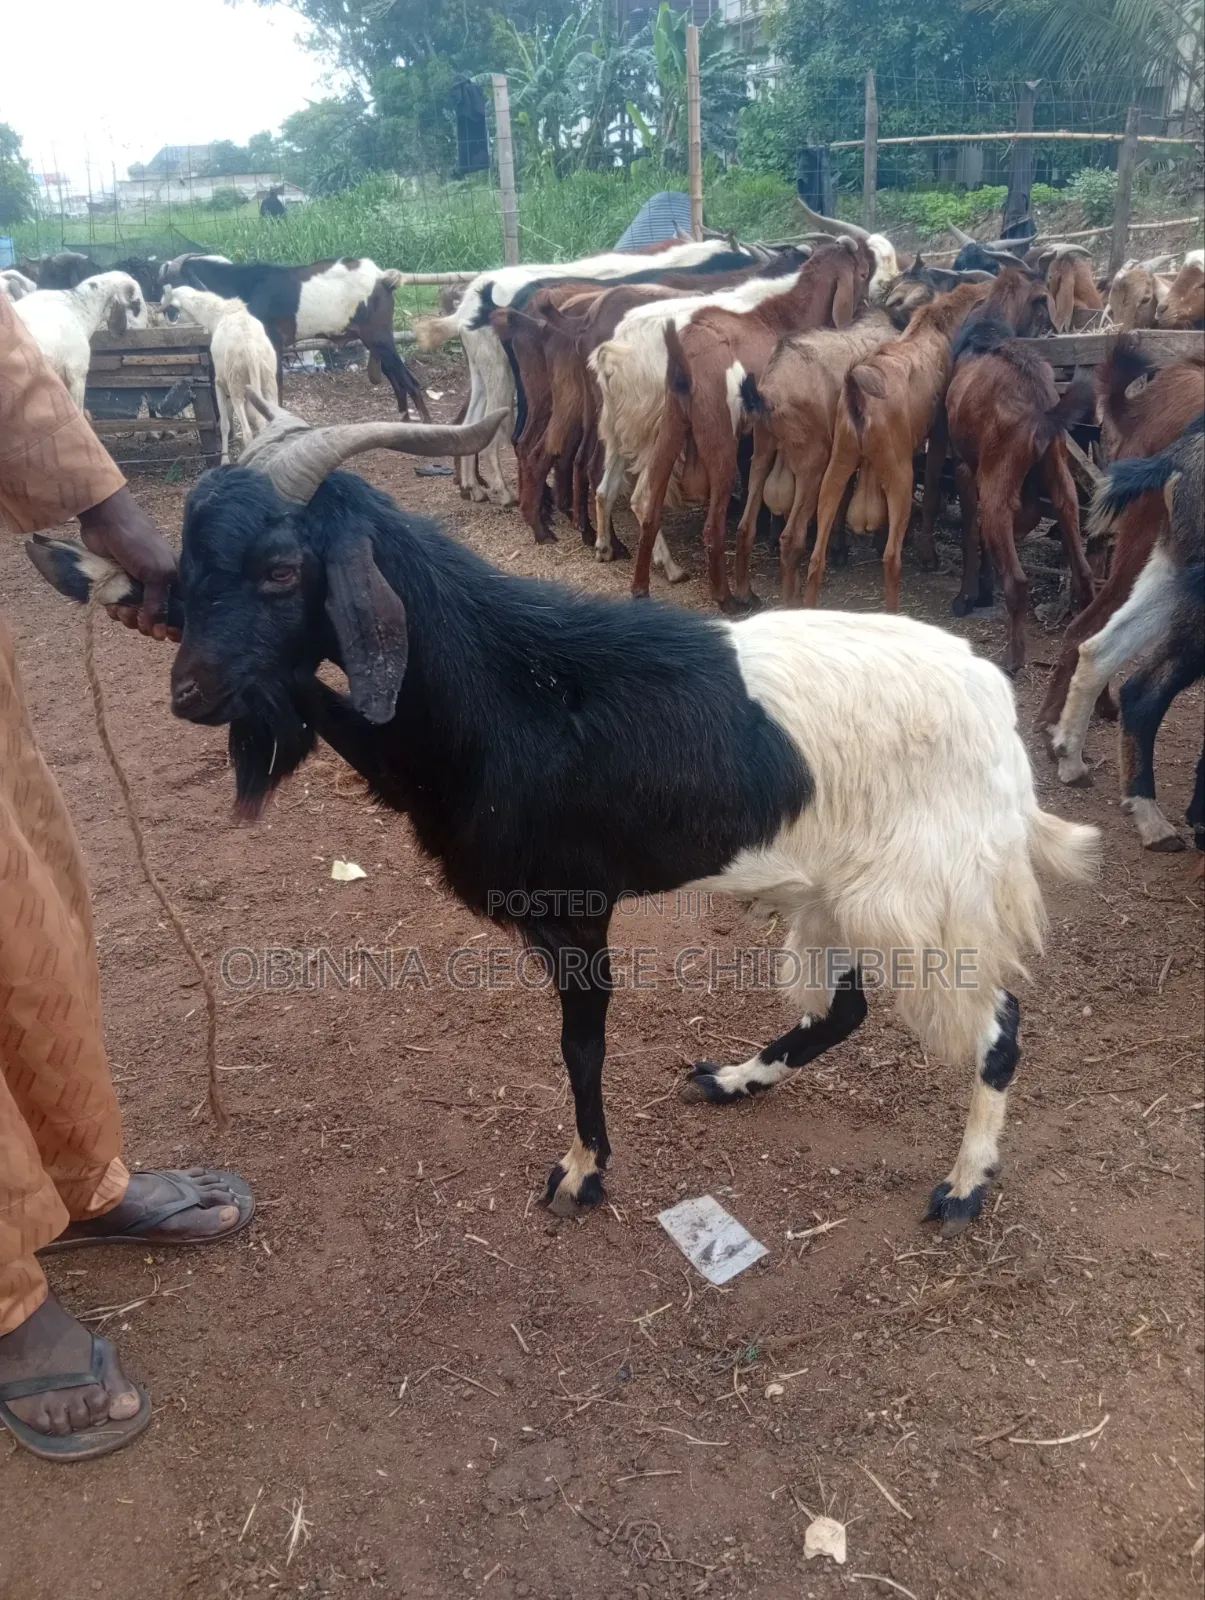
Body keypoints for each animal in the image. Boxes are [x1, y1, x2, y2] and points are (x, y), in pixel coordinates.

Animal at [28, 393, 1098, 1236]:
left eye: (283, 570)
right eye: (189, 565)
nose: (192, 694)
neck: (506, 688)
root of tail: (996, 714)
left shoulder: (575, 908)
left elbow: (580, 1046)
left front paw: (582, 1172)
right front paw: (80, 567)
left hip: (921, 894)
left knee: (996, 1022)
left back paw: (963, 1185)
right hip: (831, 890)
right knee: (844, 1007)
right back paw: (736, 1080)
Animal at [160, 254, 427, 422]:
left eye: (173, 285)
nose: (165, 316)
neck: (245, 288)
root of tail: (382, 276)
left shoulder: (272, 347)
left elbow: (274, 393)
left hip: (380, 337)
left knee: (410, 382)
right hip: (374, 342)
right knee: (397, 382)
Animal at [161, 285, 280, 463]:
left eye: (171, 311)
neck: (219, 315)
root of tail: (251, 350)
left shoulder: (220, 384)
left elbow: (224, 424)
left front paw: (224, 460)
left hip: (236, 387)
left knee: (248, 432)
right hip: (269, 384)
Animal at [945, 316, 1095, 673]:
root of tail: (1042, 408)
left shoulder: (964, 467)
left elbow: (970, 533)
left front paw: (967, 597)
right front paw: (984, 590)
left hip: (996, 485)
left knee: (1018, 581)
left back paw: (1012, 659)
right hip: (1061, 482)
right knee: (1083, 571)